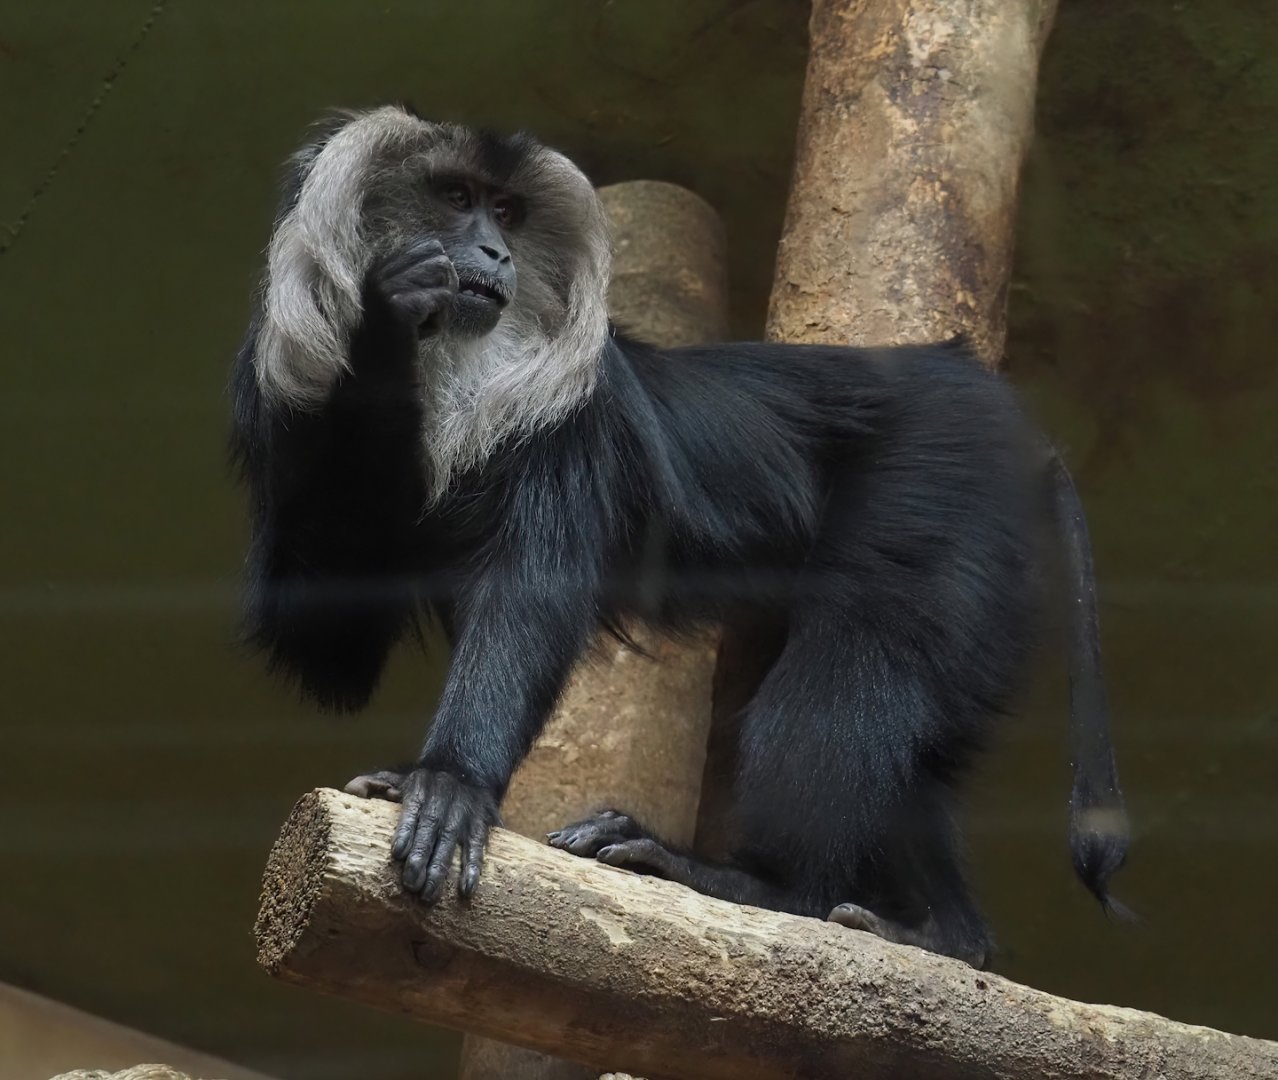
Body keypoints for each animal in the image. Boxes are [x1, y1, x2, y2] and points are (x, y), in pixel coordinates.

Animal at [231, 105, 1128, 968]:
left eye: (507, 213)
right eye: (455, 198)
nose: (490, 250)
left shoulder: (571, 423)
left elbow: (532, 597)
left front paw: (451, 786)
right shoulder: (280, 397)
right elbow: (326, 645)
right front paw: (388, 312)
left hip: (940, 486)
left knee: (856, 663)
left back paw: (751, 883)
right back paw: (946, 932)